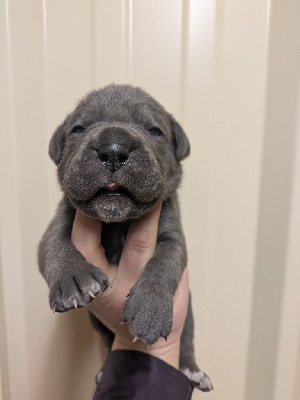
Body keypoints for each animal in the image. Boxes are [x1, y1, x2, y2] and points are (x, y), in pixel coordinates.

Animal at [38, 83, 213, 392]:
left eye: (155, 131)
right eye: (78, 129)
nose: (113, 149)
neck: (118, 223)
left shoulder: (172, 237)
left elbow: (163, 264)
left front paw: (149, 308)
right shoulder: (57, 223)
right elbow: (56, 246)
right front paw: (72, 277)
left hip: (188, 314)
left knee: (187, 341)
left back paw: (191, 370)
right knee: (108, 343)